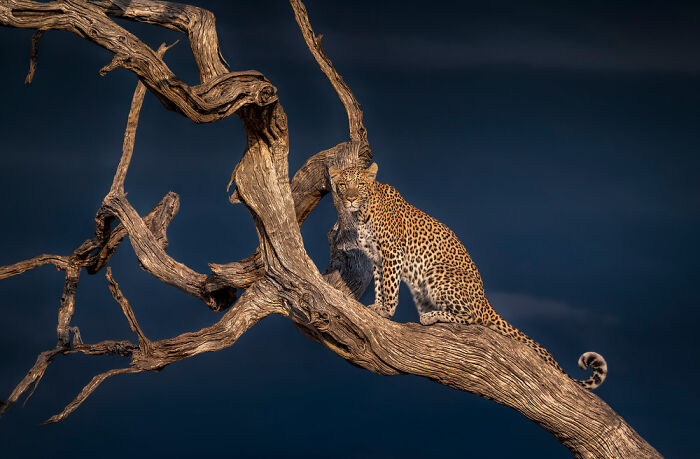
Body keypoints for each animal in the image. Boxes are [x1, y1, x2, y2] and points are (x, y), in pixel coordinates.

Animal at [329, 162, 607, 389]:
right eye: (343, 185)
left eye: (360, 185)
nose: (350, 199)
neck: (362, 213)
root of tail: (486, 301)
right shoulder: (376, 258)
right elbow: (379, 284)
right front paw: (377, 306)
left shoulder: (392, 252)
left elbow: (390, 286)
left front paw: (386, 311)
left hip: (436, 273)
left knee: (473, 318)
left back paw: (432, 316)